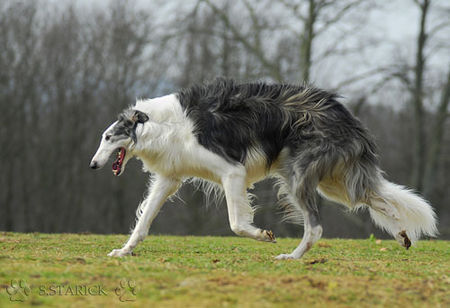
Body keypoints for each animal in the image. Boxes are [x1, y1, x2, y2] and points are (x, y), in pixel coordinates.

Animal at [89, 78, 438, 258]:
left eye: (107, 137)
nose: (92, 165)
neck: (160, 125)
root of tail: (349, 119)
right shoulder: (169, 178)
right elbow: (143, 222)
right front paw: (123, 251)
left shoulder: (232, 172)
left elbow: (236, 223)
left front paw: (263, 235)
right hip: (333, 184)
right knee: (378, 201)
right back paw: (402, 235)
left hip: (299, 178)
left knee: (316, 227)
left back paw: (292, 256)